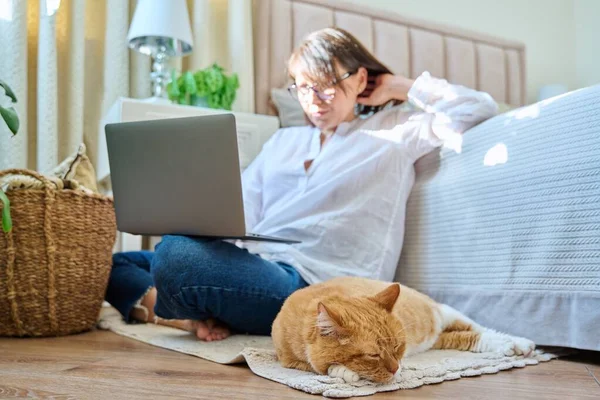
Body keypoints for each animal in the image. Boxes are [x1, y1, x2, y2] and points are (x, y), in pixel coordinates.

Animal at [272, 276, 536, 382]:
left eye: (398, 347)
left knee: (479, 328)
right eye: (373, 355)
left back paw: (518, 343)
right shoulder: (290, 361)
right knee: (467, 338)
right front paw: (344, 371)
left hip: (446, 313)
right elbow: (320, 367)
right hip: (440, 339)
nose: (396, 368)